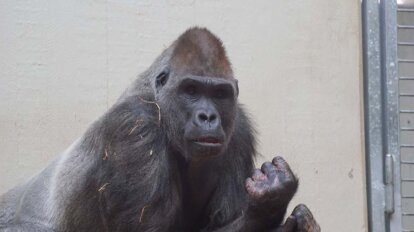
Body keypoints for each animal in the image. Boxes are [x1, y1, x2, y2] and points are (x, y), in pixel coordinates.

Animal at [0, 28, 320, 231]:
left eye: (220, 94)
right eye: (191, 90)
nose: (208, 117)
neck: (159, 102)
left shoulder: (238, 128)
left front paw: (271, 204)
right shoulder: (136, 129)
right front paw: (270, 207)